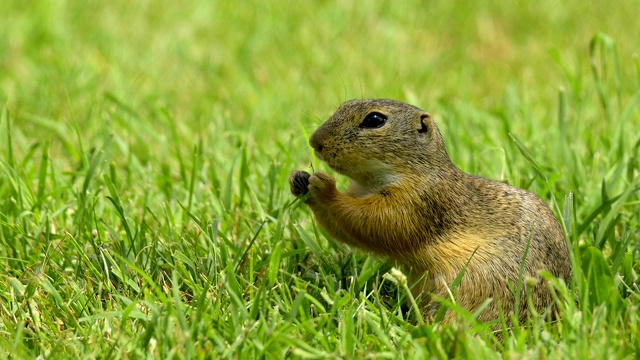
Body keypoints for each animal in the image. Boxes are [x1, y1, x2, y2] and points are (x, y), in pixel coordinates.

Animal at [288, 98, 568, 326]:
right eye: (343, 106)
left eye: (375, 120)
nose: (315, 142)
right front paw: (299, 179)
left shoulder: (419, 202)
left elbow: (371, 223)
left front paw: (324, 187)